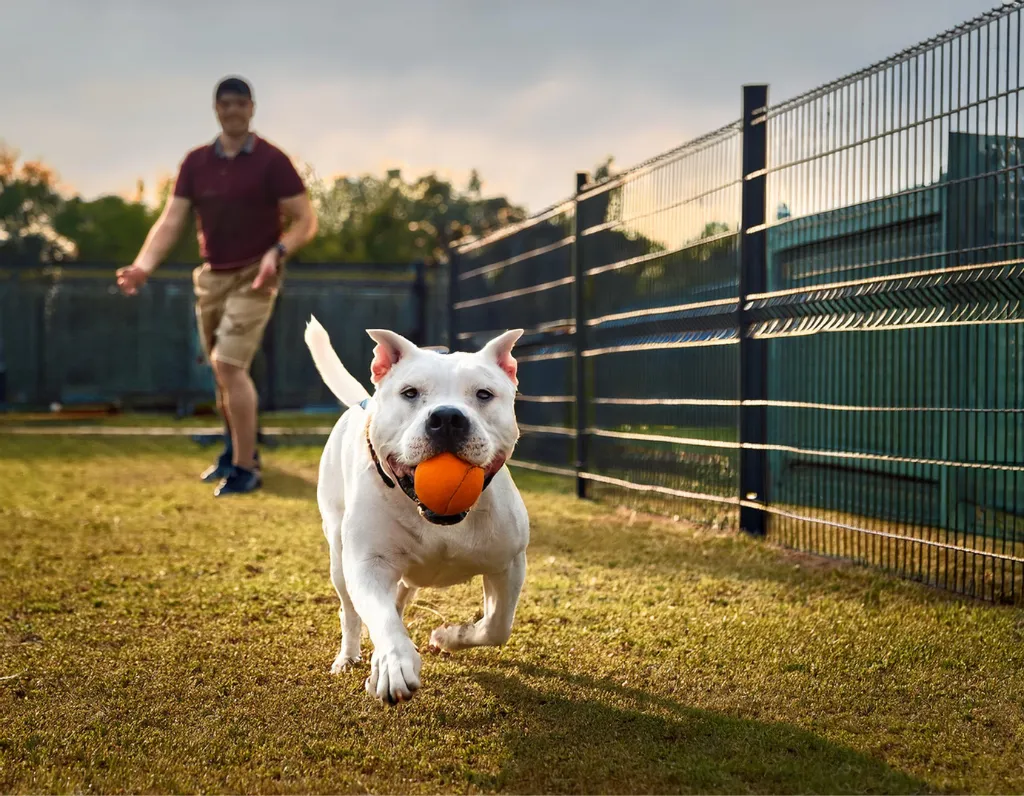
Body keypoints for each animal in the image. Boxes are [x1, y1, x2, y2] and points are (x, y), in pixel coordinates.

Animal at [301, 317, 528, 700]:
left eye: (484, 394)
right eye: (409, 393)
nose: (448, 418)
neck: (440, 520)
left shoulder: (508, 563)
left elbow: (497, 626)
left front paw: (451, 636)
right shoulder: (367, 564)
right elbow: (382, 620)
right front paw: (394, 664)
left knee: (401, 595)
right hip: (338, 558)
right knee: (352, 612)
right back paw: (350, 657)